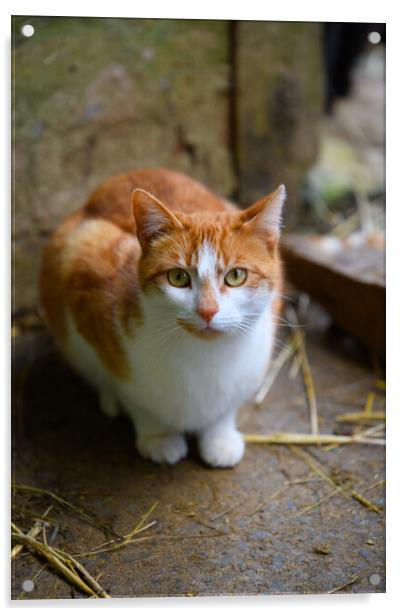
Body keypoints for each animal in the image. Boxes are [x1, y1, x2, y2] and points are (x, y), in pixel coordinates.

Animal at [40, 168, 286, 466]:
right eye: (178, 277)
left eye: (236, 276)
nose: (207, 310)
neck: (205, 357)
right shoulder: (85, 280)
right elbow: (134, 397)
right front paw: (157, 436)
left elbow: (225, 407)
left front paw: (220, 436)